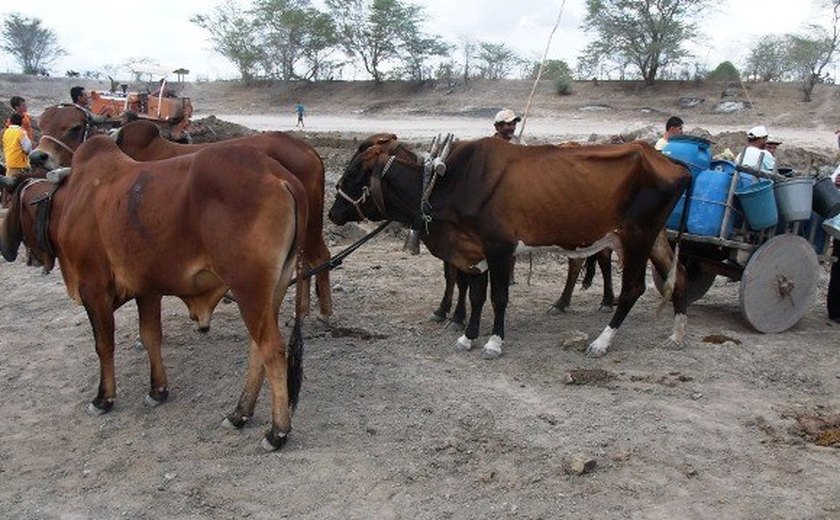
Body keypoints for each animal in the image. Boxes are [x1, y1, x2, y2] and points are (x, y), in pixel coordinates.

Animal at [0, 136, 308, 448]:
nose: (28, 257)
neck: (69, 202)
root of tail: (277, 174)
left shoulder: (93, 288)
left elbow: (104, 345)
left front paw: (103, 398)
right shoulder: (147, 289)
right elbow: (150, 337)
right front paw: (158, 390)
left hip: (249, 289)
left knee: (272, 350)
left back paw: (277, 431)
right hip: (273, 289)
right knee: (257, 349)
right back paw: (239, 413)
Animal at [29, 109, 332, 320]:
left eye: (74, 127)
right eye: (41, 124)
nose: (37, 157)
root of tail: (306, 148)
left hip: (308, 225)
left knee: (320, 257)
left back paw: (324, 312)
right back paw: (305, 308)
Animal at [328, 136, 688, 360]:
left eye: (354, 173)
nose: (332, 213)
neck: (451, 182)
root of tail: (671, 163)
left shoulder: (499, 248)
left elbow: (498, 297)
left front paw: (494, 342)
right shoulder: (473, 251)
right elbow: (475, 296)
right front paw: (467, 336)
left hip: (637, 237)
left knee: (633, 289)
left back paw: (602, 342)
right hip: (653, 238)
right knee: (679, 275)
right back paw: (676, 334)